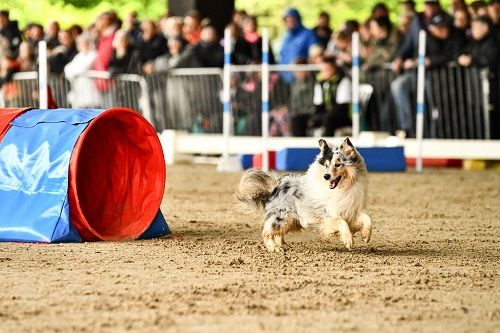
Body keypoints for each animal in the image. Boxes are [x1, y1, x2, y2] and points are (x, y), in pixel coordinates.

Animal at [237, 137, 372, 249]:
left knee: (278, 233)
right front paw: (348, 241)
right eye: (326, 165)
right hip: (281, 216)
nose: (326, 176)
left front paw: (366, 236)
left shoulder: (350, 211)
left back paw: (281, 245)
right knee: (267, 232)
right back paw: (274, 248)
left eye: (338, 164)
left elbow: (367, 218)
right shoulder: (328, 214)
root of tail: (274, 188)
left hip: (290, 220)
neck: (342, 188)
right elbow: (341, 222)